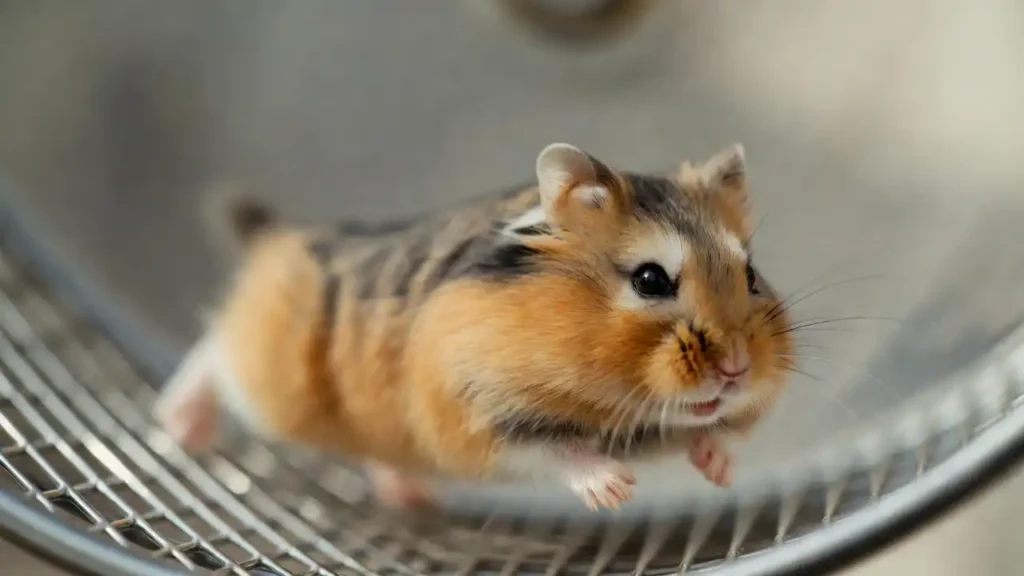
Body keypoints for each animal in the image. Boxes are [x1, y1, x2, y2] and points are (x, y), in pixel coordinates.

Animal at [153, 142, 795, 512]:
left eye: (751, 274)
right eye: (650, 279)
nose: (737, 370)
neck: (620, 407)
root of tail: (281, 236)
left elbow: (705, 434)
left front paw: (720, 472)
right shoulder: (475, 412)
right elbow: (556, 451)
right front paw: (615, 491)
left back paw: (410, 495)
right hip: (268, 379)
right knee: (212, 348)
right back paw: (180, 427)